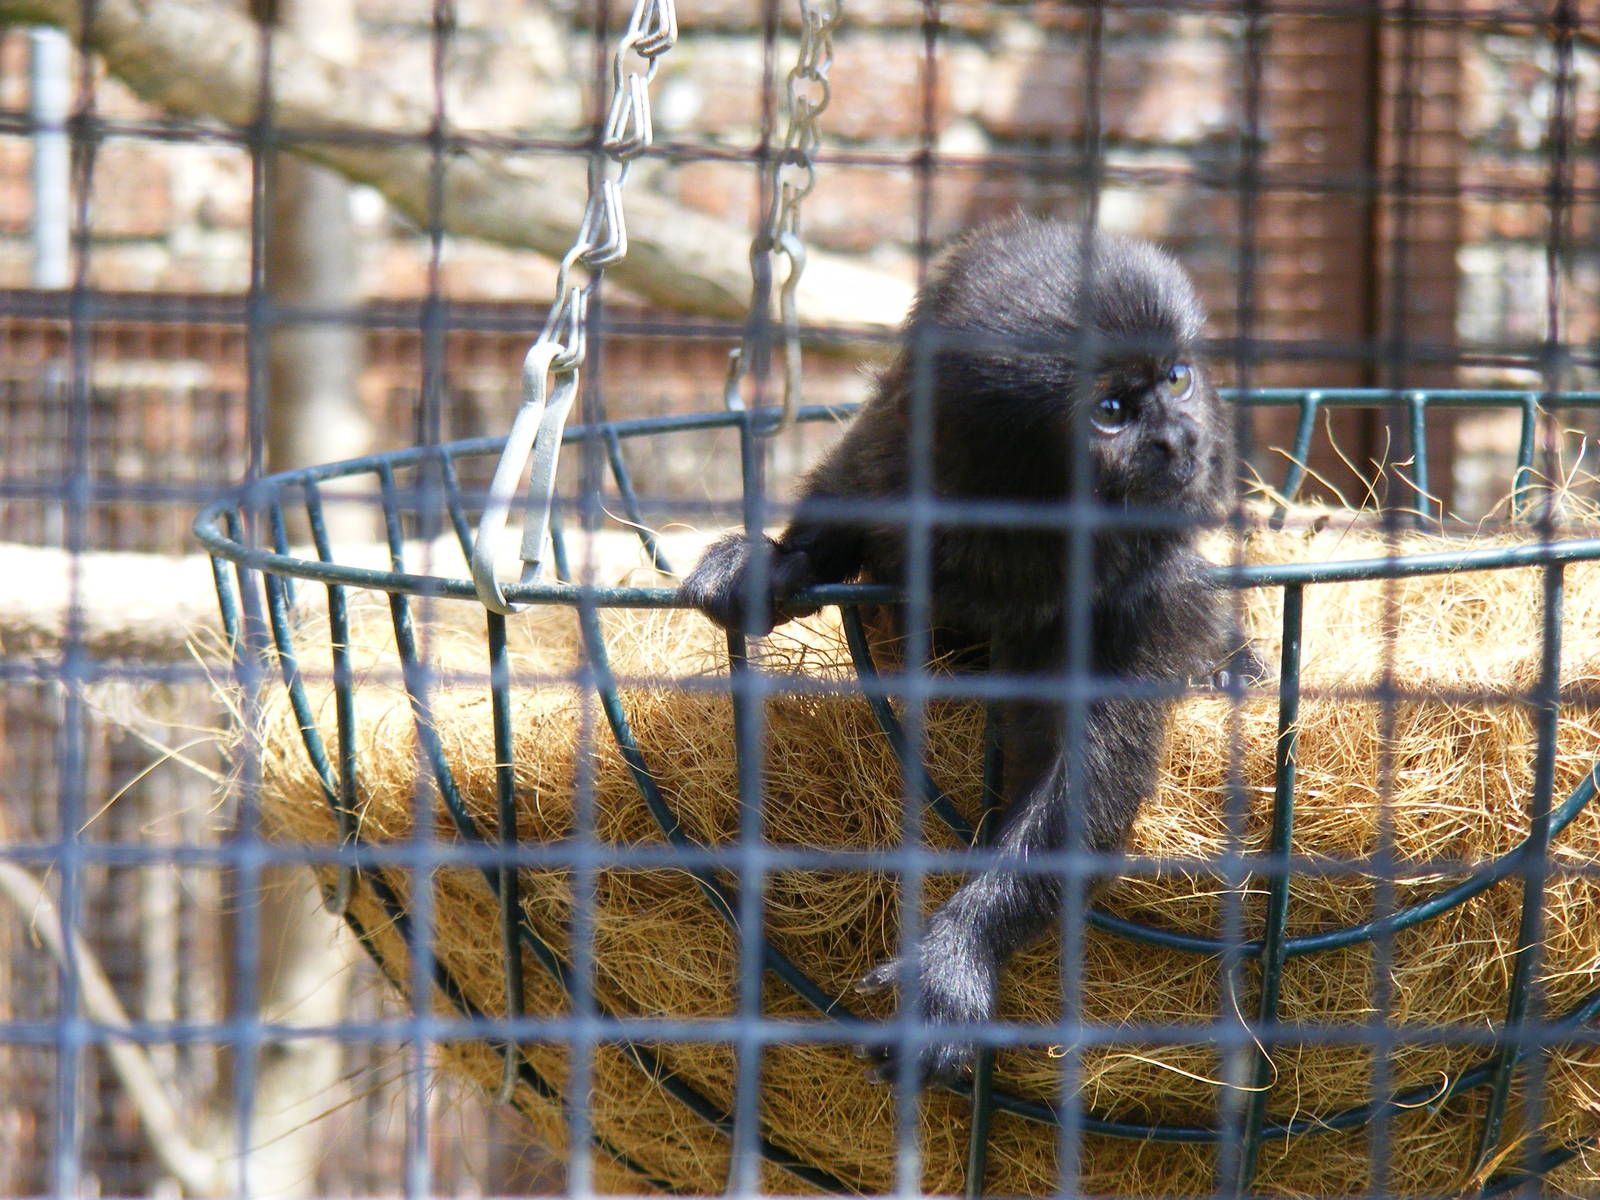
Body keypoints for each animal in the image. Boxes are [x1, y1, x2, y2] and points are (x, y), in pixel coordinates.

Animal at [679, 216, 1246, 1086]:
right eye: (1112, 410)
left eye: (1178, 377)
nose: (1180, 438)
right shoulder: (895, 458)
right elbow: (840, 507)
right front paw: (770, 561)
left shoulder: (1143, 597)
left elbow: (1081, 778)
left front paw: (958, 959)